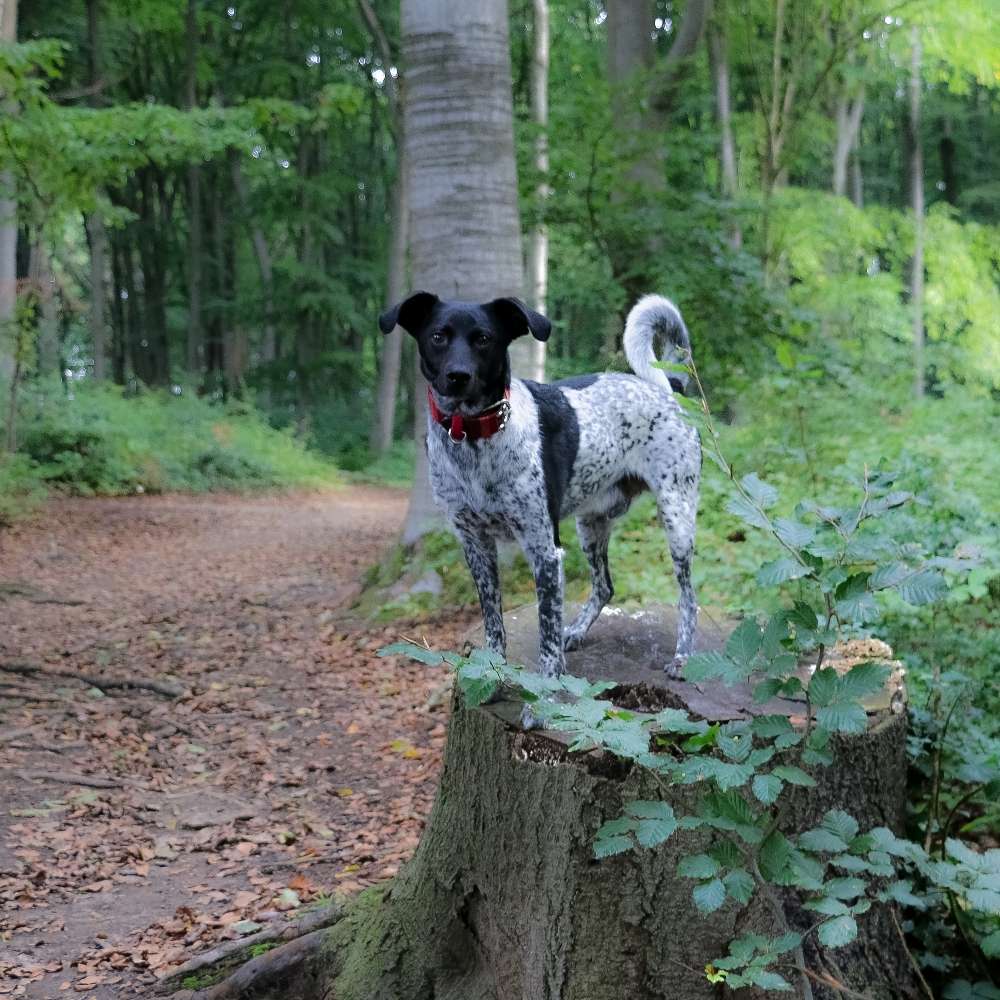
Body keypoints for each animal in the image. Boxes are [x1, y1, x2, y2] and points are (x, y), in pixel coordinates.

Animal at [378, 292, 700, 676]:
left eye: (484, 338)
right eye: (438, 337)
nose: (458, 376)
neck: (476, 441)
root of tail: (669, 387)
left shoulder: (544, 550)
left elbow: (547, 638)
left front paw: (548, 687)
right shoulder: (475, 545)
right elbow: (493, 623)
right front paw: (493, 670)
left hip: (677, 517)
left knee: (688, 597)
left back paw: (683, 655)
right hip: (591, 524)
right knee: (604, 586)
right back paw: (576, 630)